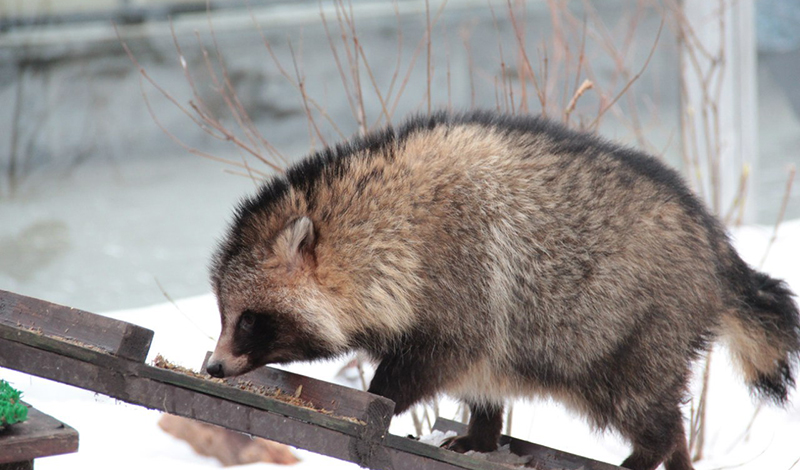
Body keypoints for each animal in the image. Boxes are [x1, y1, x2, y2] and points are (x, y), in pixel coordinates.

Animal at [208, 111, 800, 470]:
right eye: (225, 315)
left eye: (247, 319)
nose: (213, 367)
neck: (384, 229)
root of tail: (717, 248)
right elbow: (480, 375)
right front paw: (484, 432)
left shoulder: (463, 278)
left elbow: (441, 358)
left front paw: (382, 397)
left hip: (635, 332)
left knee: (641, 402)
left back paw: (654, 447)